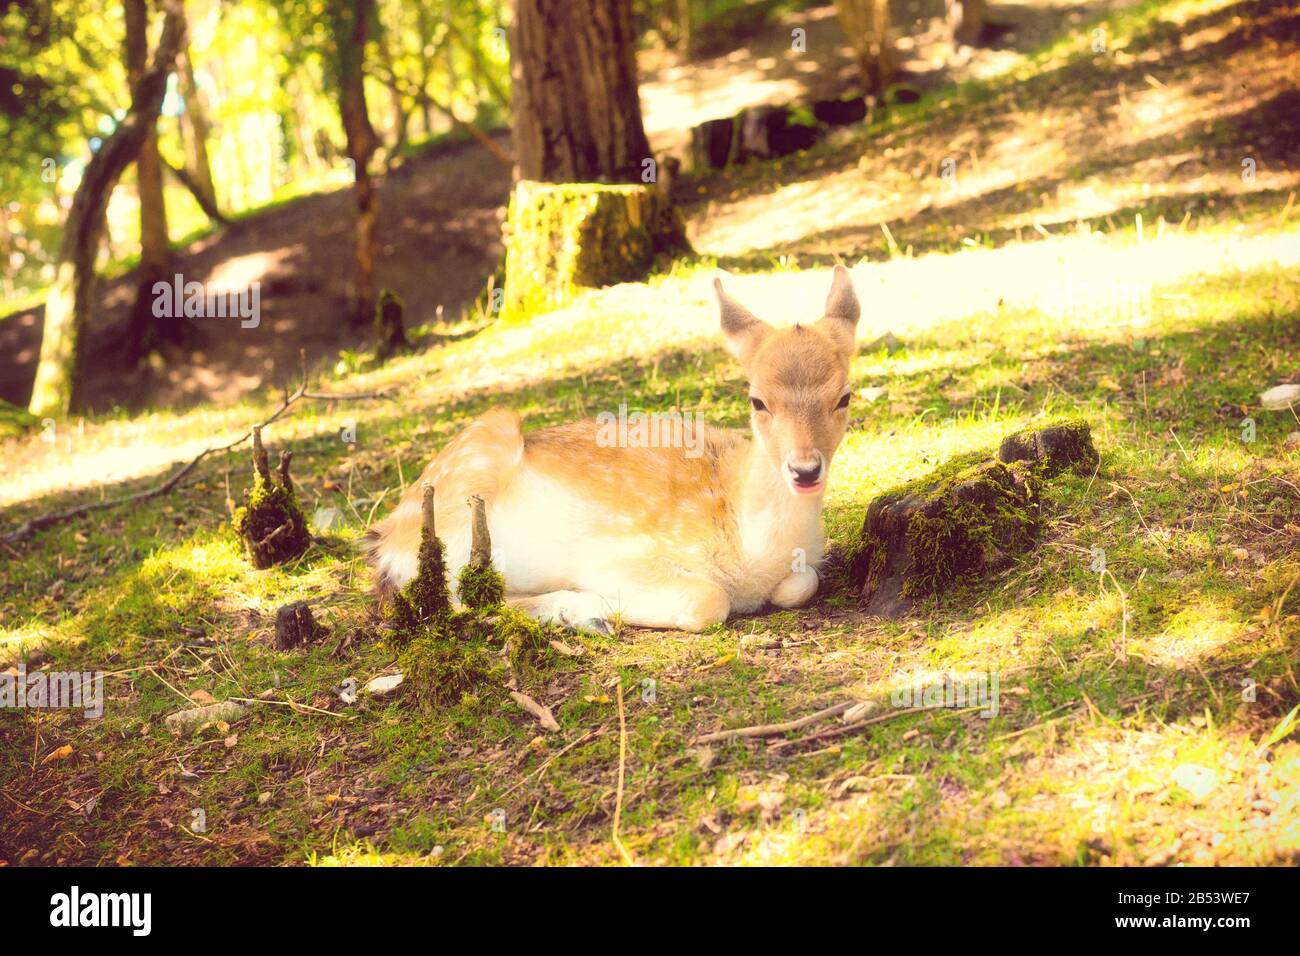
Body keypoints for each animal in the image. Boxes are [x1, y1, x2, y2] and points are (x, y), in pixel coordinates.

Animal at [366, 265, 860, 633]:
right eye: (758, 400)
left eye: (844, 396)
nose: (804, 469)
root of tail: (385, 537)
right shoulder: (617, 553)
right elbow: (708, 598)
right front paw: (598, 601)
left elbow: (803, 582)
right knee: (448, 596)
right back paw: (585, 612)